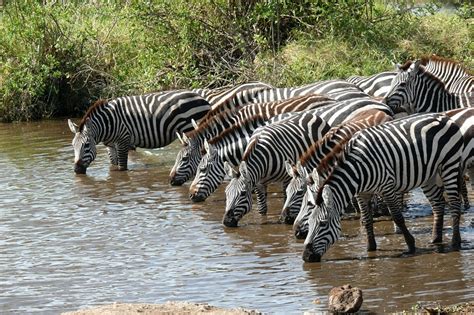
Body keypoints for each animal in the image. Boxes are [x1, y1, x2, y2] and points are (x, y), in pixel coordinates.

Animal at [67, 90, 211, 175]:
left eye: (86, 145)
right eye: (73, 146)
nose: (76, 171)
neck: (107, 124)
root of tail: (203, 99)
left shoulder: (123, 140)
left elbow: (122, 168)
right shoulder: (110, 145)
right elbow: (114, 164)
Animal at [304, 112, 462, 262]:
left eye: (323, 224)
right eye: (310, 223)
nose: (306, 257)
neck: (358, 170)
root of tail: (442, 116)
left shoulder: (387, 187)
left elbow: (397, 217)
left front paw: (411, 245)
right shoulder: (361, 194)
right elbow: (367, 219)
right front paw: (370, 248)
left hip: (449, 165)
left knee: (455, 203)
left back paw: (455, 242)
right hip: (429, 176)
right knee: (438, 204)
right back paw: (435, 239)